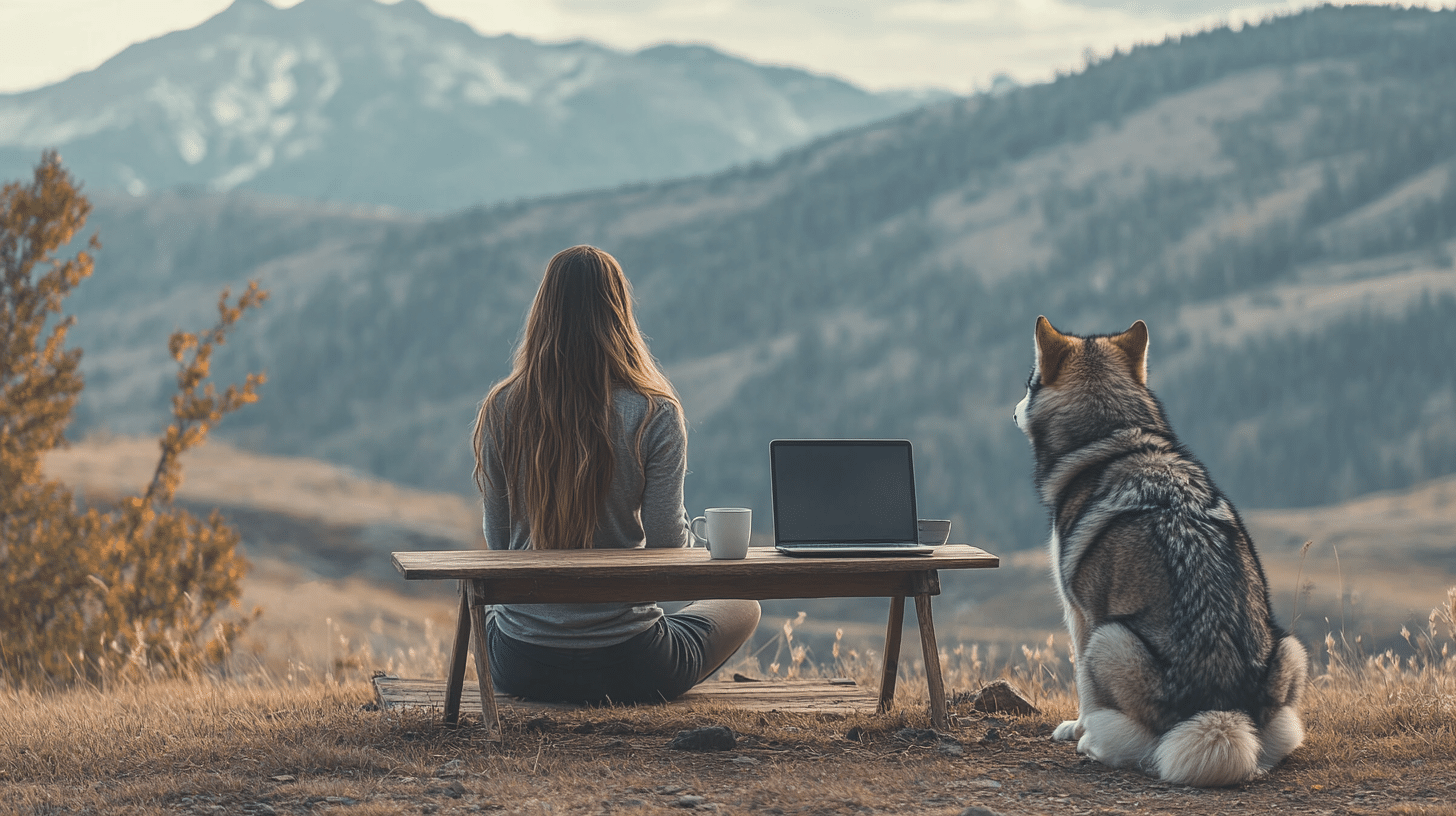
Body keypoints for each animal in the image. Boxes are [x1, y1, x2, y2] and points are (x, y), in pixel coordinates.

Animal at [1013, 316, 1307, 787]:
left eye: (1029, 382)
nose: (1012, 410)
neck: (1114, 436)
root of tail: (1217, 711)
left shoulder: (1080, 616)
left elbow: (1082, 690)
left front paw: (1075, 728)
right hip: (1290, 649)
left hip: (1110, 638)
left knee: (1138, 745)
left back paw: (1090, 743)